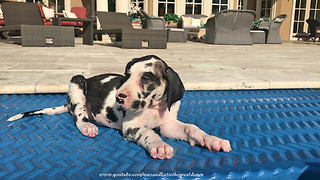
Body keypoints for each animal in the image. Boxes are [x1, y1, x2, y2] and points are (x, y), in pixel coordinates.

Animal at [7, 54, 231, 159]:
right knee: (79, 116)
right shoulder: (130, 127)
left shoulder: (169, 125)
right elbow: (148, 133)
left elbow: (191, 129)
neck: (153, 108)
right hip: (77, 83)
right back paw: (88, 126)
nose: (119, 97)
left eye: (146, 78)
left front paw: (212, 140)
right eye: (127, 75)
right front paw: (159, 145)